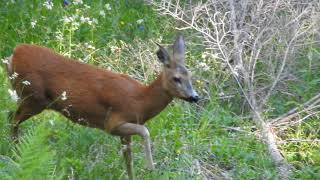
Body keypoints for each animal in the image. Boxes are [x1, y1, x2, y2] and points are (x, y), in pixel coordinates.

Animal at [5, 34, 198, 179]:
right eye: (176, 78)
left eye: (190, 76)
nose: (195, 97)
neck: (141, 101)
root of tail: (12, 55)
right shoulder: (113, 123)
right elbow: (145, 132)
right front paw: (151, 167)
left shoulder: (126, 131)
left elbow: (128, 160)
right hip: (32, 97)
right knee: (13, 119)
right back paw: (15, 154)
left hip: (28, 98)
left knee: (10, 115)